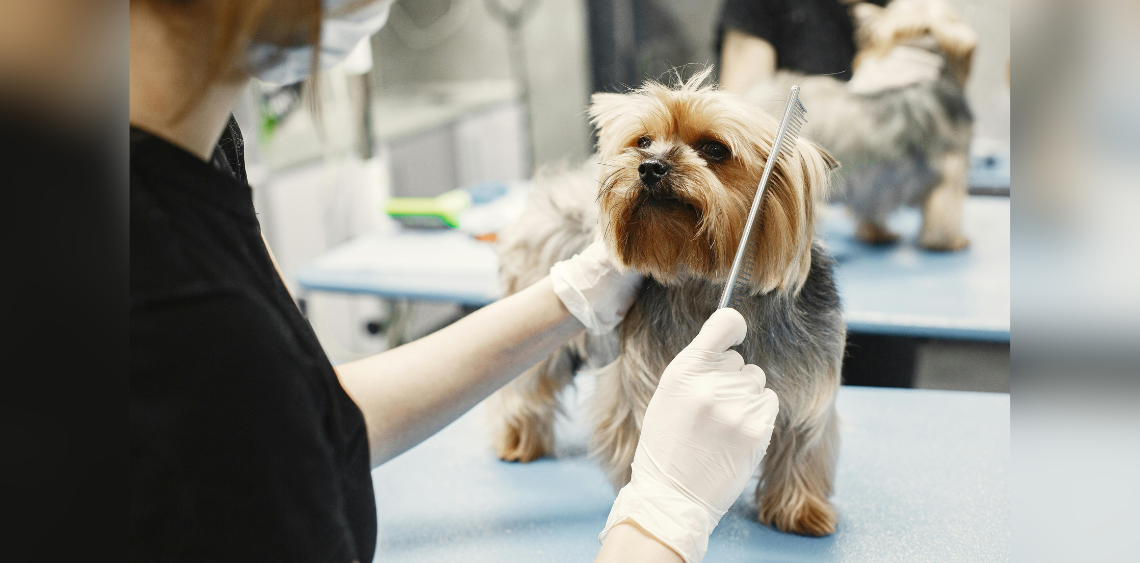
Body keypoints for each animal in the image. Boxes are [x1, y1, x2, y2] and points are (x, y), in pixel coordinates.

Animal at [487, 68, 848, 533]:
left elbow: (804, 442)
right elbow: (642, 428)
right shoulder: (645, 375)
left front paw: (801, 510)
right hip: (537, 335)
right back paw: (519, 440)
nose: (649, 166)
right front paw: (654, 487)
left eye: (715, 149)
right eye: (643, 141)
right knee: (526, 385)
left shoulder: (809, 383)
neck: (705, 280)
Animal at [747, 0, 980, 250]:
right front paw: (949, 242)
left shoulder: (875, 187)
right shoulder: (950, 171)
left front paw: (877, 234)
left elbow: (872, 213)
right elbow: (945, 216)